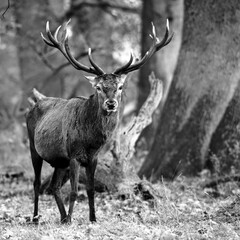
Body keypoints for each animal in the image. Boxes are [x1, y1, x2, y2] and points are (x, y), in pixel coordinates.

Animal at [26, 19, 172, 224]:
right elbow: (74, 191)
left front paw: (93, 219)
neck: (91, 140)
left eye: (120, 86)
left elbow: (90, 189)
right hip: (34, 147)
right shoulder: (74, 154)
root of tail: (33, 105)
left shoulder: (93, 157)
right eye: (99, 87)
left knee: (54, 186)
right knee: (37, 182)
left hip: (59, 160)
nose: (111, 103)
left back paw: (61, 217)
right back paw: (36, 217)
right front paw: (71, 220)